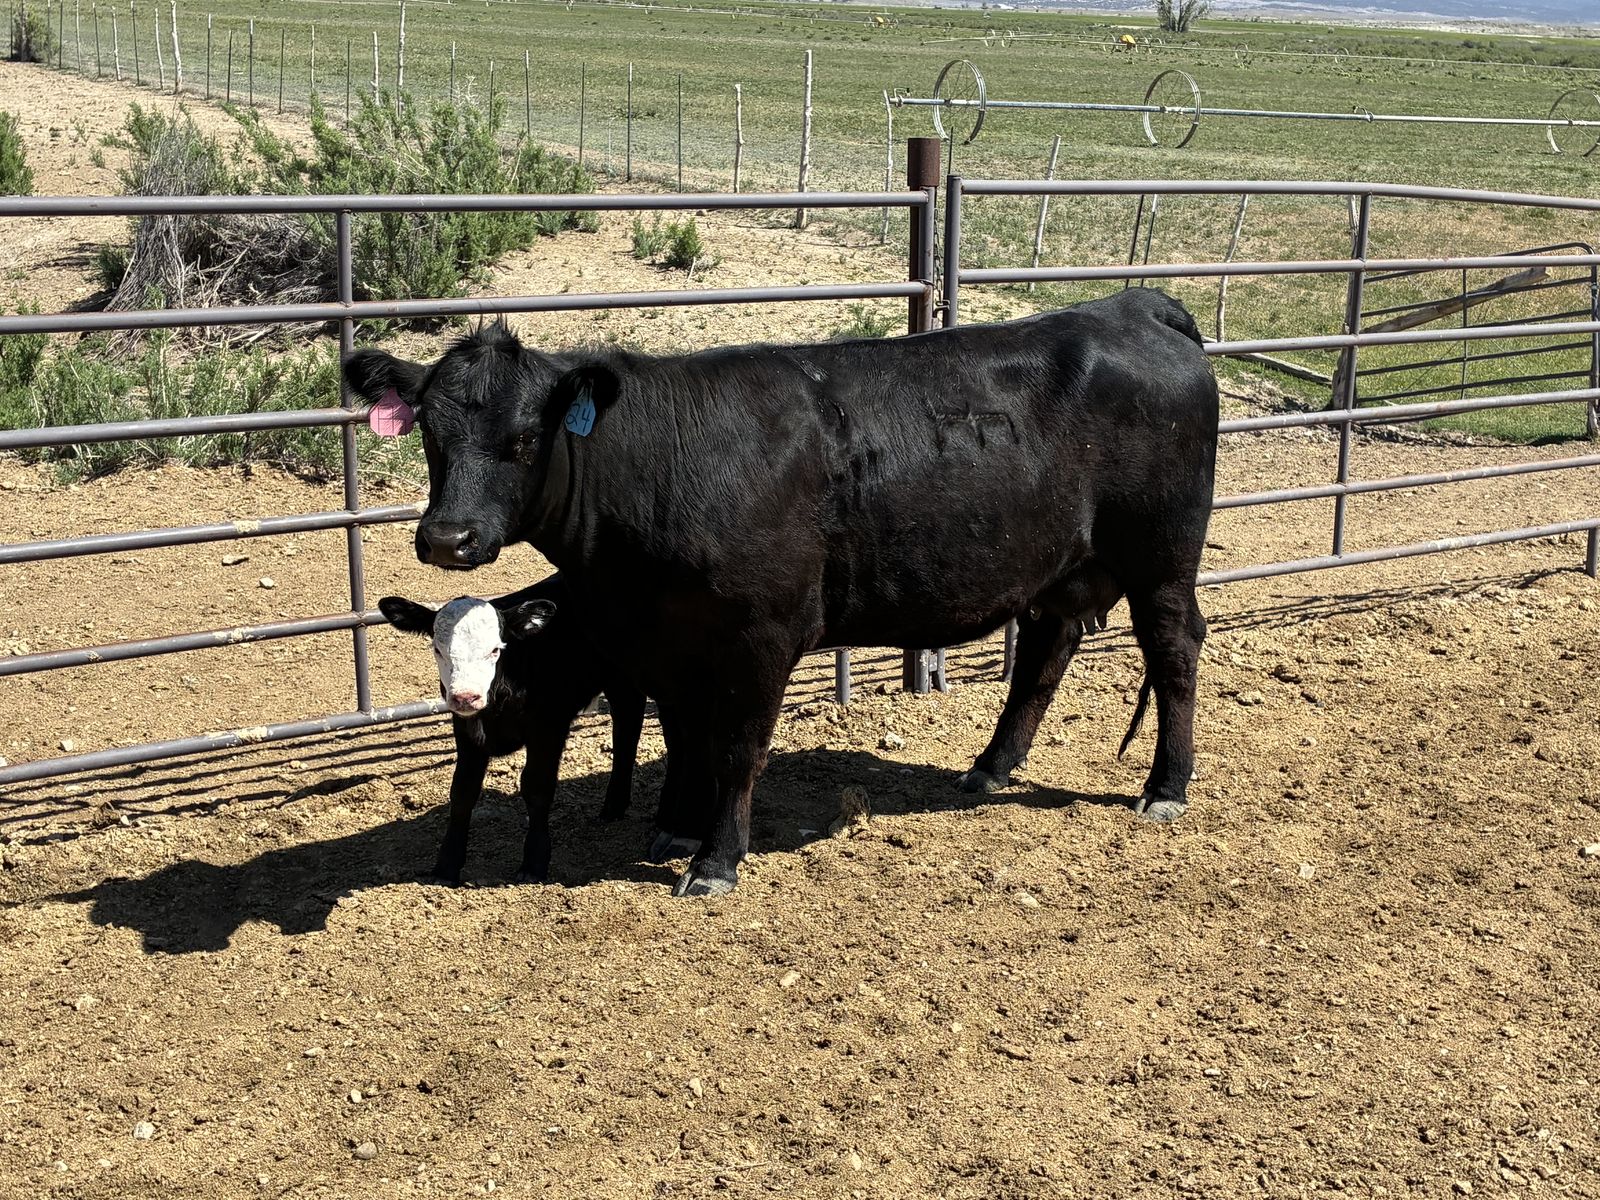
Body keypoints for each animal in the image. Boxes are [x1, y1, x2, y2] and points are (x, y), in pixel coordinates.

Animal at [378, 575, 651, 884]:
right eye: (438, 649)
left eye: (495, 649)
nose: (466, 697)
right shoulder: (466, 730)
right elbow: (462, 791)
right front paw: (446, 867)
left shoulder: (548, 727)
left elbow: (536, 787)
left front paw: (534, 863)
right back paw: (614, 806)